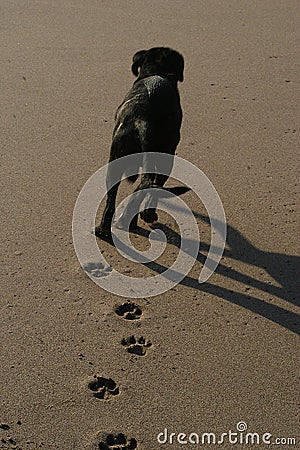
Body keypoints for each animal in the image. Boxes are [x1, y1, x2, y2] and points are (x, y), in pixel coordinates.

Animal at [95, 46, 188, 239]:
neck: (156, 72)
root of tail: (142, 121)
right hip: (166, 158)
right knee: (148, 187)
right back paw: (142, 216)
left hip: (115, 161)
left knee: (116, 198)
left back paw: (106, 229)